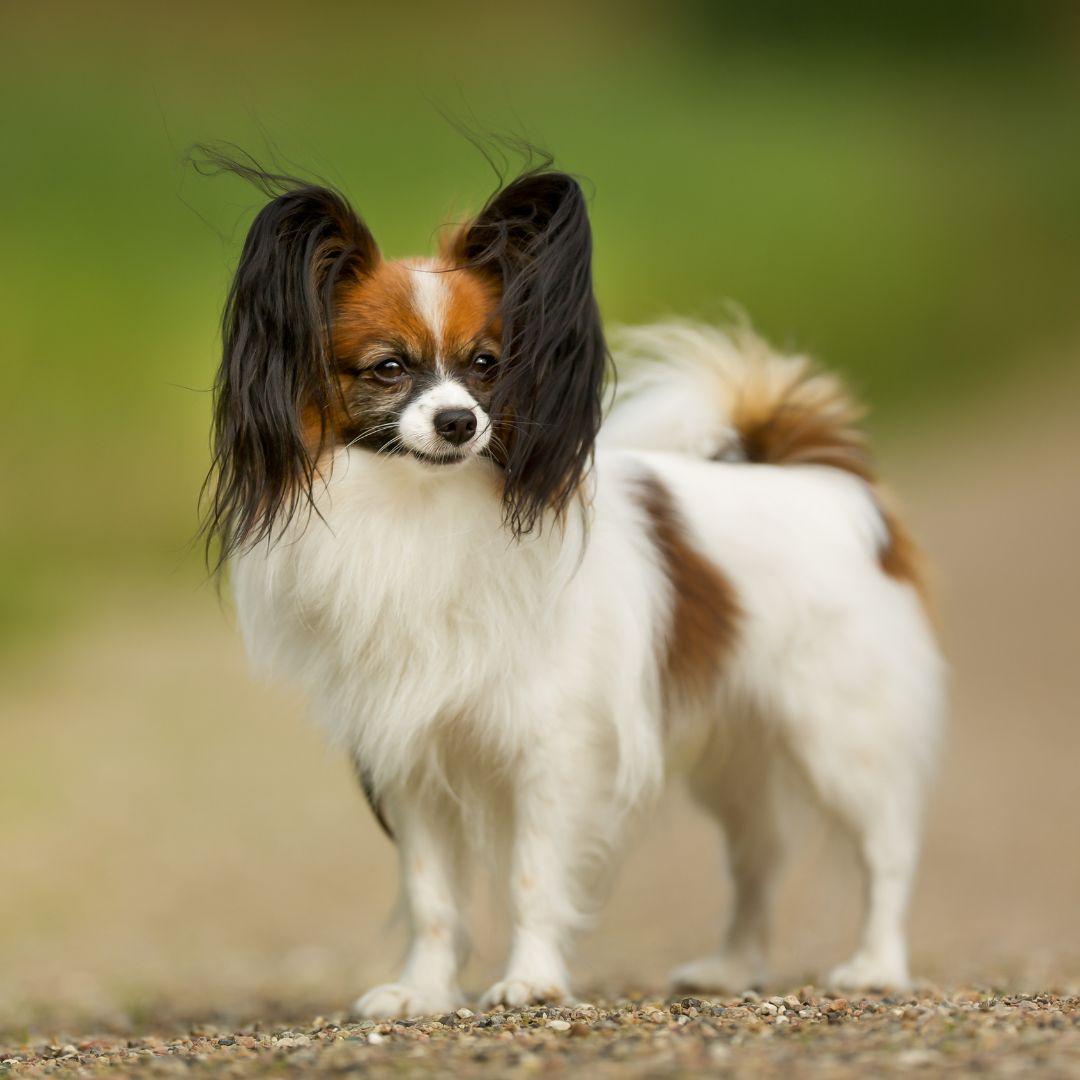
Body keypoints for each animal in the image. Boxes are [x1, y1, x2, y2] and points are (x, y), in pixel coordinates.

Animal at [203, 147, 946, 1015]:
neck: (421, 514)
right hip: (735, 750)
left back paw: (877, 967)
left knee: (886, 852)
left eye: (486, 366)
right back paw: (731, 970)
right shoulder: (410, 754)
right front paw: (422, 993)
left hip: (842, 735)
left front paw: (530, 981)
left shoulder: (553, 746)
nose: (459, 422)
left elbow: (533, 876)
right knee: (758, 860)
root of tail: (825, 480)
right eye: (388, 369)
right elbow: (431, 895)